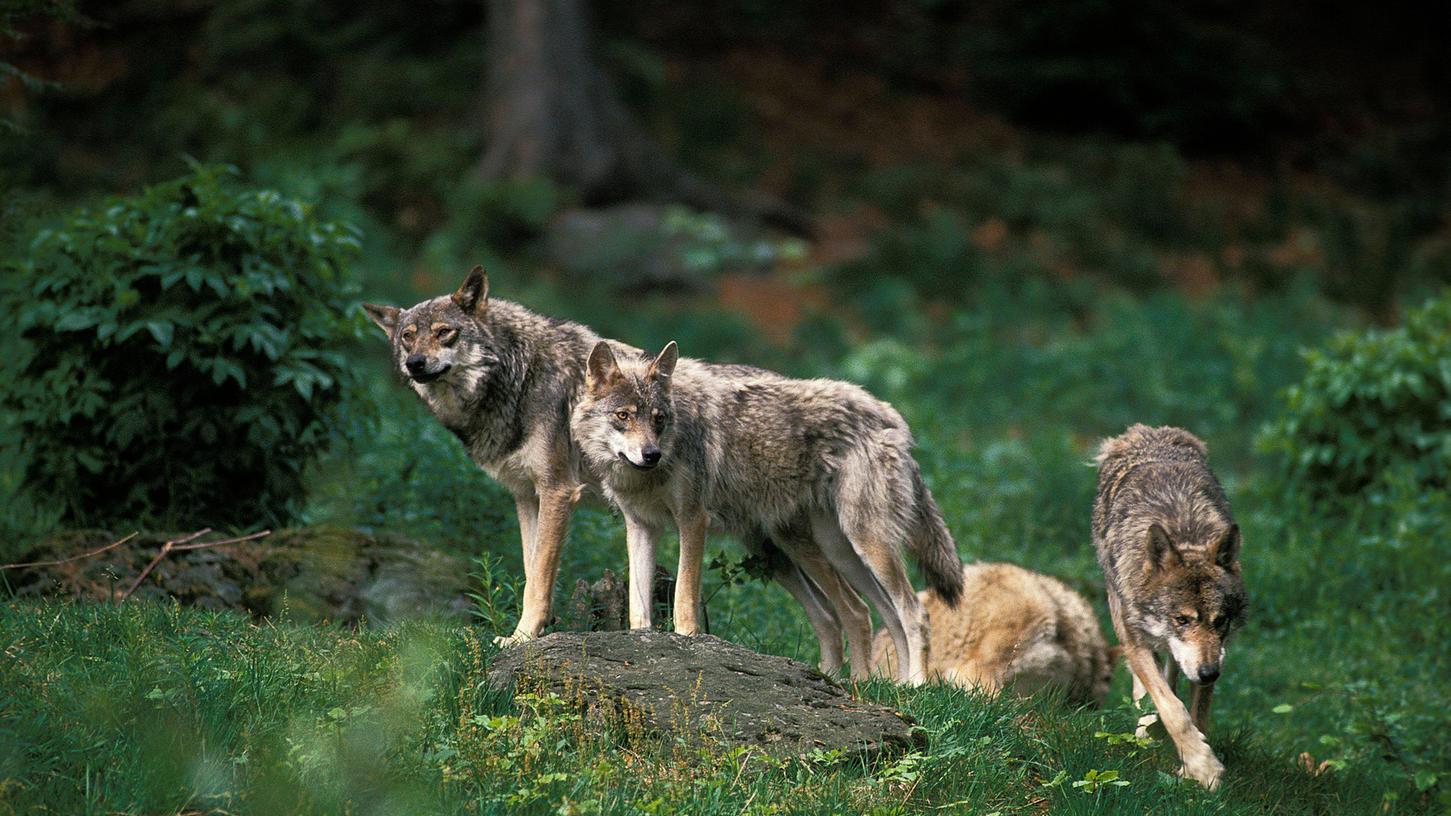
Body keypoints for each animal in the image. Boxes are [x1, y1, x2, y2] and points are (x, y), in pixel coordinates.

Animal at [368, 264, 606, 644]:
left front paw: (522, 637)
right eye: (407, 336)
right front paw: (538, 628)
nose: (415, 363)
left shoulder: (557, 491)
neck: (520, 378)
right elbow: (531, 568)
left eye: (444, 333)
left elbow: (538, 577)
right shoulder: (526, 496)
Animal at [568, 336, 963, 679]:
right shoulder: (640, 526)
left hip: (863, 544)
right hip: (818, 550)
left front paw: (687, 645)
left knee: (910, 611)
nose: (651, 454)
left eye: (658, 418)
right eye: (623, 416)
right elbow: (639, 608)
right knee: (864, 612)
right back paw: (880, 686)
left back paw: (912, 685)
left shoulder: (692, 521)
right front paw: (642, 645)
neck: (645, 477)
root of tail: (889, 413)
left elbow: (683, 600)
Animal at [1091, 426, 1247, 789]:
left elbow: (1196, 714)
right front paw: (1202, 765)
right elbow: (1173, 710)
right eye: (1182, 619)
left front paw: (1195, 767)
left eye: (1220, 621)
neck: (1184, 534)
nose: (1210, 673)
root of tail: (1145, 431)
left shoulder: (1214, 654)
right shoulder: (1135, 641)